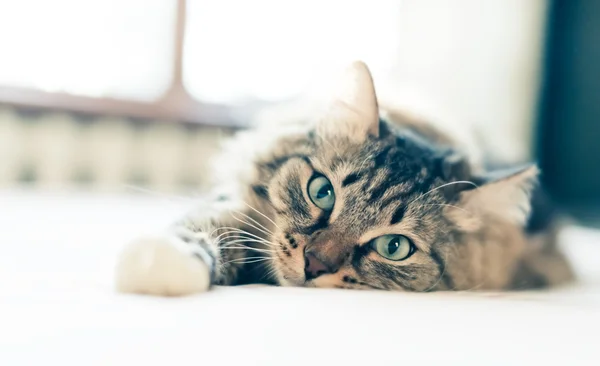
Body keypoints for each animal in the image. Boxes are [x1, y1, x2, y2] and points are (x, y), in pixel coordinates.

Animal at [116, 60, 572, 294]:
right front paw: (165, 260)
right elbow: (209, 225)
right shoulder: (241, 207)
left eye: (394, 247)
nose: (314, 264)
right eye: (321, 192)